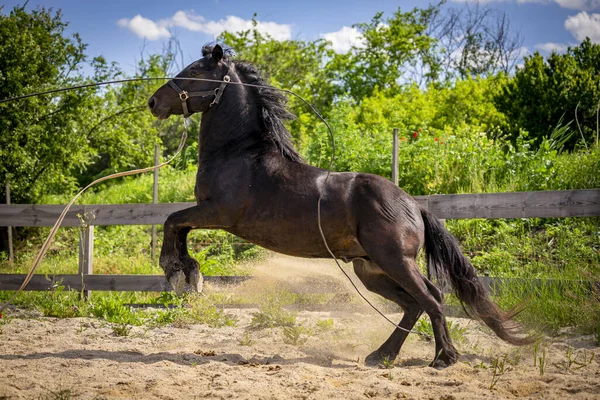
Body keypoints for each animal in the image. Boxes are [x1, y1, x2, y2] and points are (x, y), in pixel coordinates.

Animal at [148, 44, 532, 368]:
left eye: (195, 70)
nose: (153, 102)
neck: (240, 155)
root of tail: (413, 205)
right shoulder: (208, 213)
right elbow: (178, 227)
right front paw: (188, 272)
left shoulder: (219, 213)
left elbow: (172, 221)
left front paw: (177, 271)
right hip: (370, 270)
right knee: (413, 305)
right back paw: (382, 355)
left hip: (395, 261)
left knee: (432, 298)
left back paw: (444, 358)